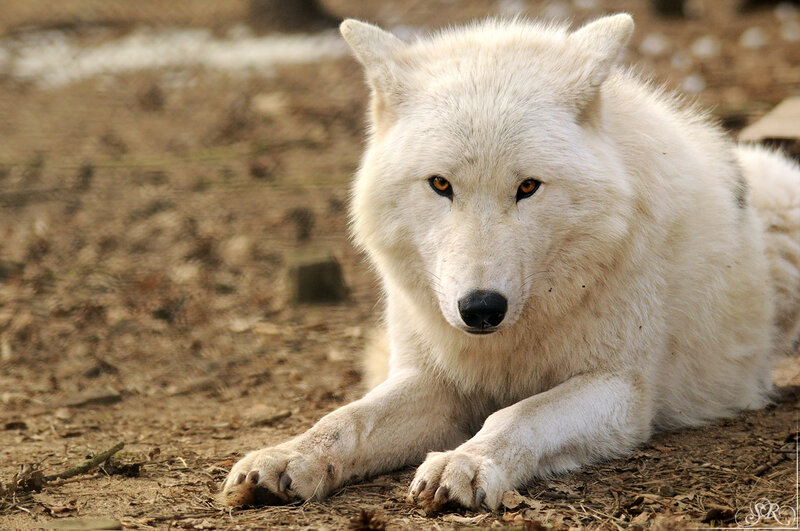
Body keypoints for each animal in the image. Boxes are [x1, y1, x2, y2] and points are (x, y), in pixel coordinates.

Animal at [222, 14, 800, 511]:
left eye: (527, 187)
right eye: (440, 184)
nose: (481, 308)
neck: (507, 346)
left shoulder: (619, 388)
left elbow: (516, 414)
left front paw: (467, 463)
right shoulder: (434, 379)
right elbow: (345, 419)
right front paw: (288, 455)